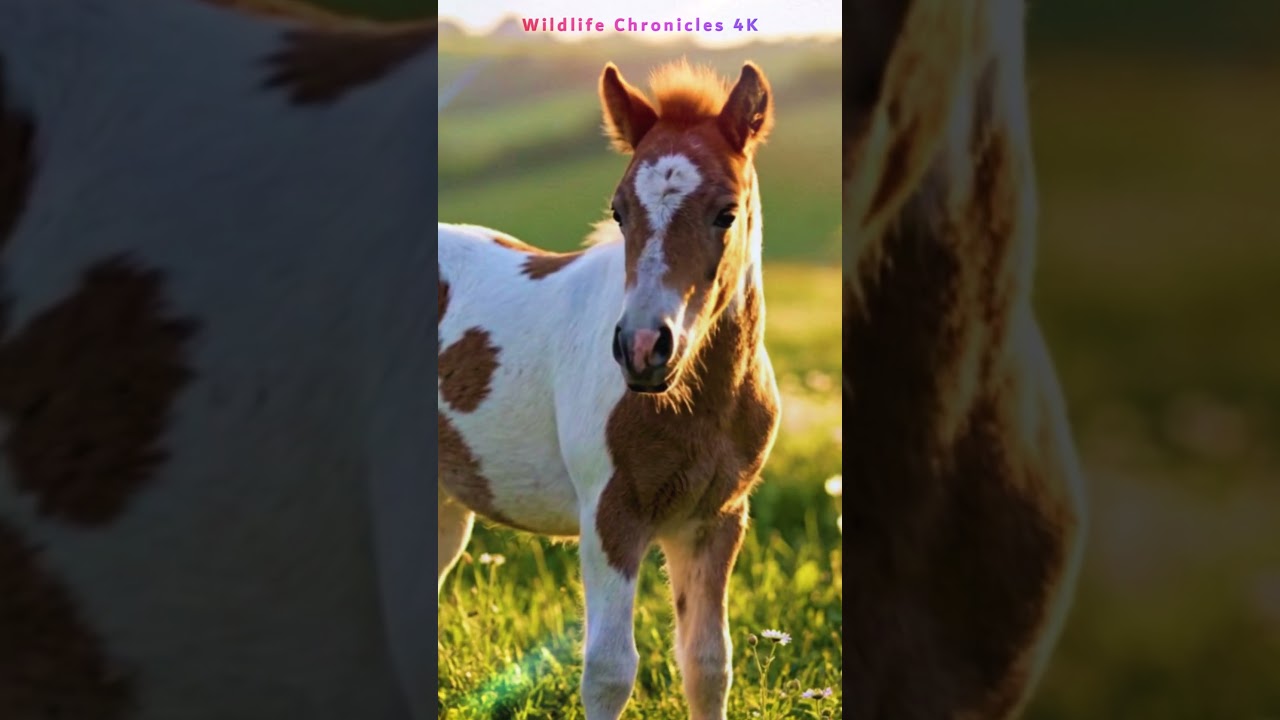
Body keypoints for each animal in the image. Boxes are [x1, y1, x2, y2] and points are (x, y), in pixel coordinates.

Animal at [437, 59, 781, 720]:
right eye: (620, 211)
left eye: (726, 212)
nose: (643, 348)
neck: (700, 401)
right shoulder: (610, 514)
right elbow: (609, 671)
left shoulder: (716, 520)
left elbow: (707, 664)